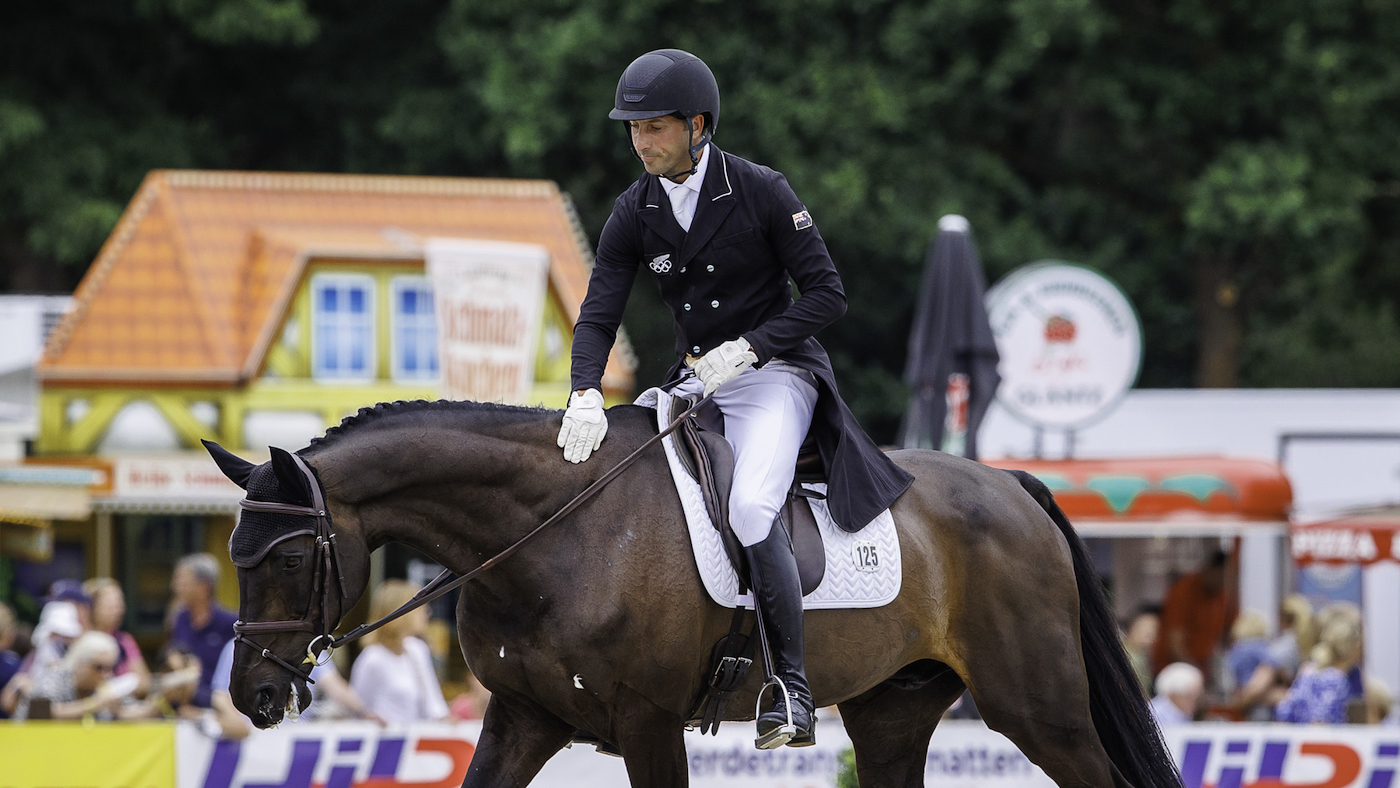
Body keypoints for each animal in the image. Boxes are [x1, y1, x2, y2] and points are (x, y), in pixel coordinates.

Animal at [205, 399, 1181, 788]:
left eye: (287, 560)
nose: (252, 695)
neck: (551, 535)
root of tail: (1013, 484)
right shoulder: (525, 718)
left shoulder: (646, 723)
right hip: (892, 715)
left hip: (1037, 707)